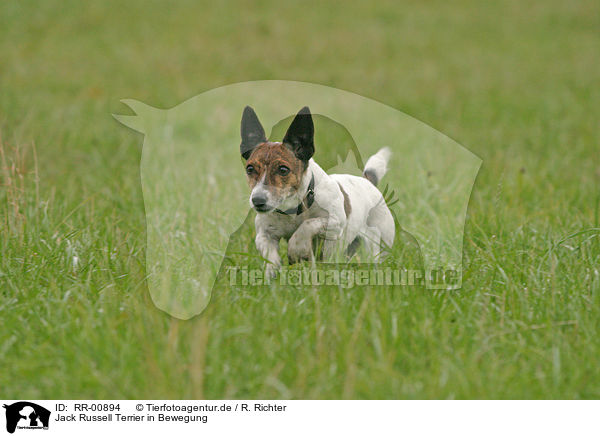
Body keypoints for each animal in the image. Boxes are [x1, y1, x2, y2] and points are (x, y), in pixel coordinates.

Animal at [239, 105, 394, 276]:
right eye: (250, 169)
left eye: (283, 169)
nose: (257, 201)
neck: (293, 210)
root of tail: (368, 182)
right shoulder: (264, 235)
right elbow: (270, 254)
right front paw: (272, 271)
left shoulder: (335, 222)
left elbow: (307, 225)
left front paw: (297, 248)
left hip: (377, 244)